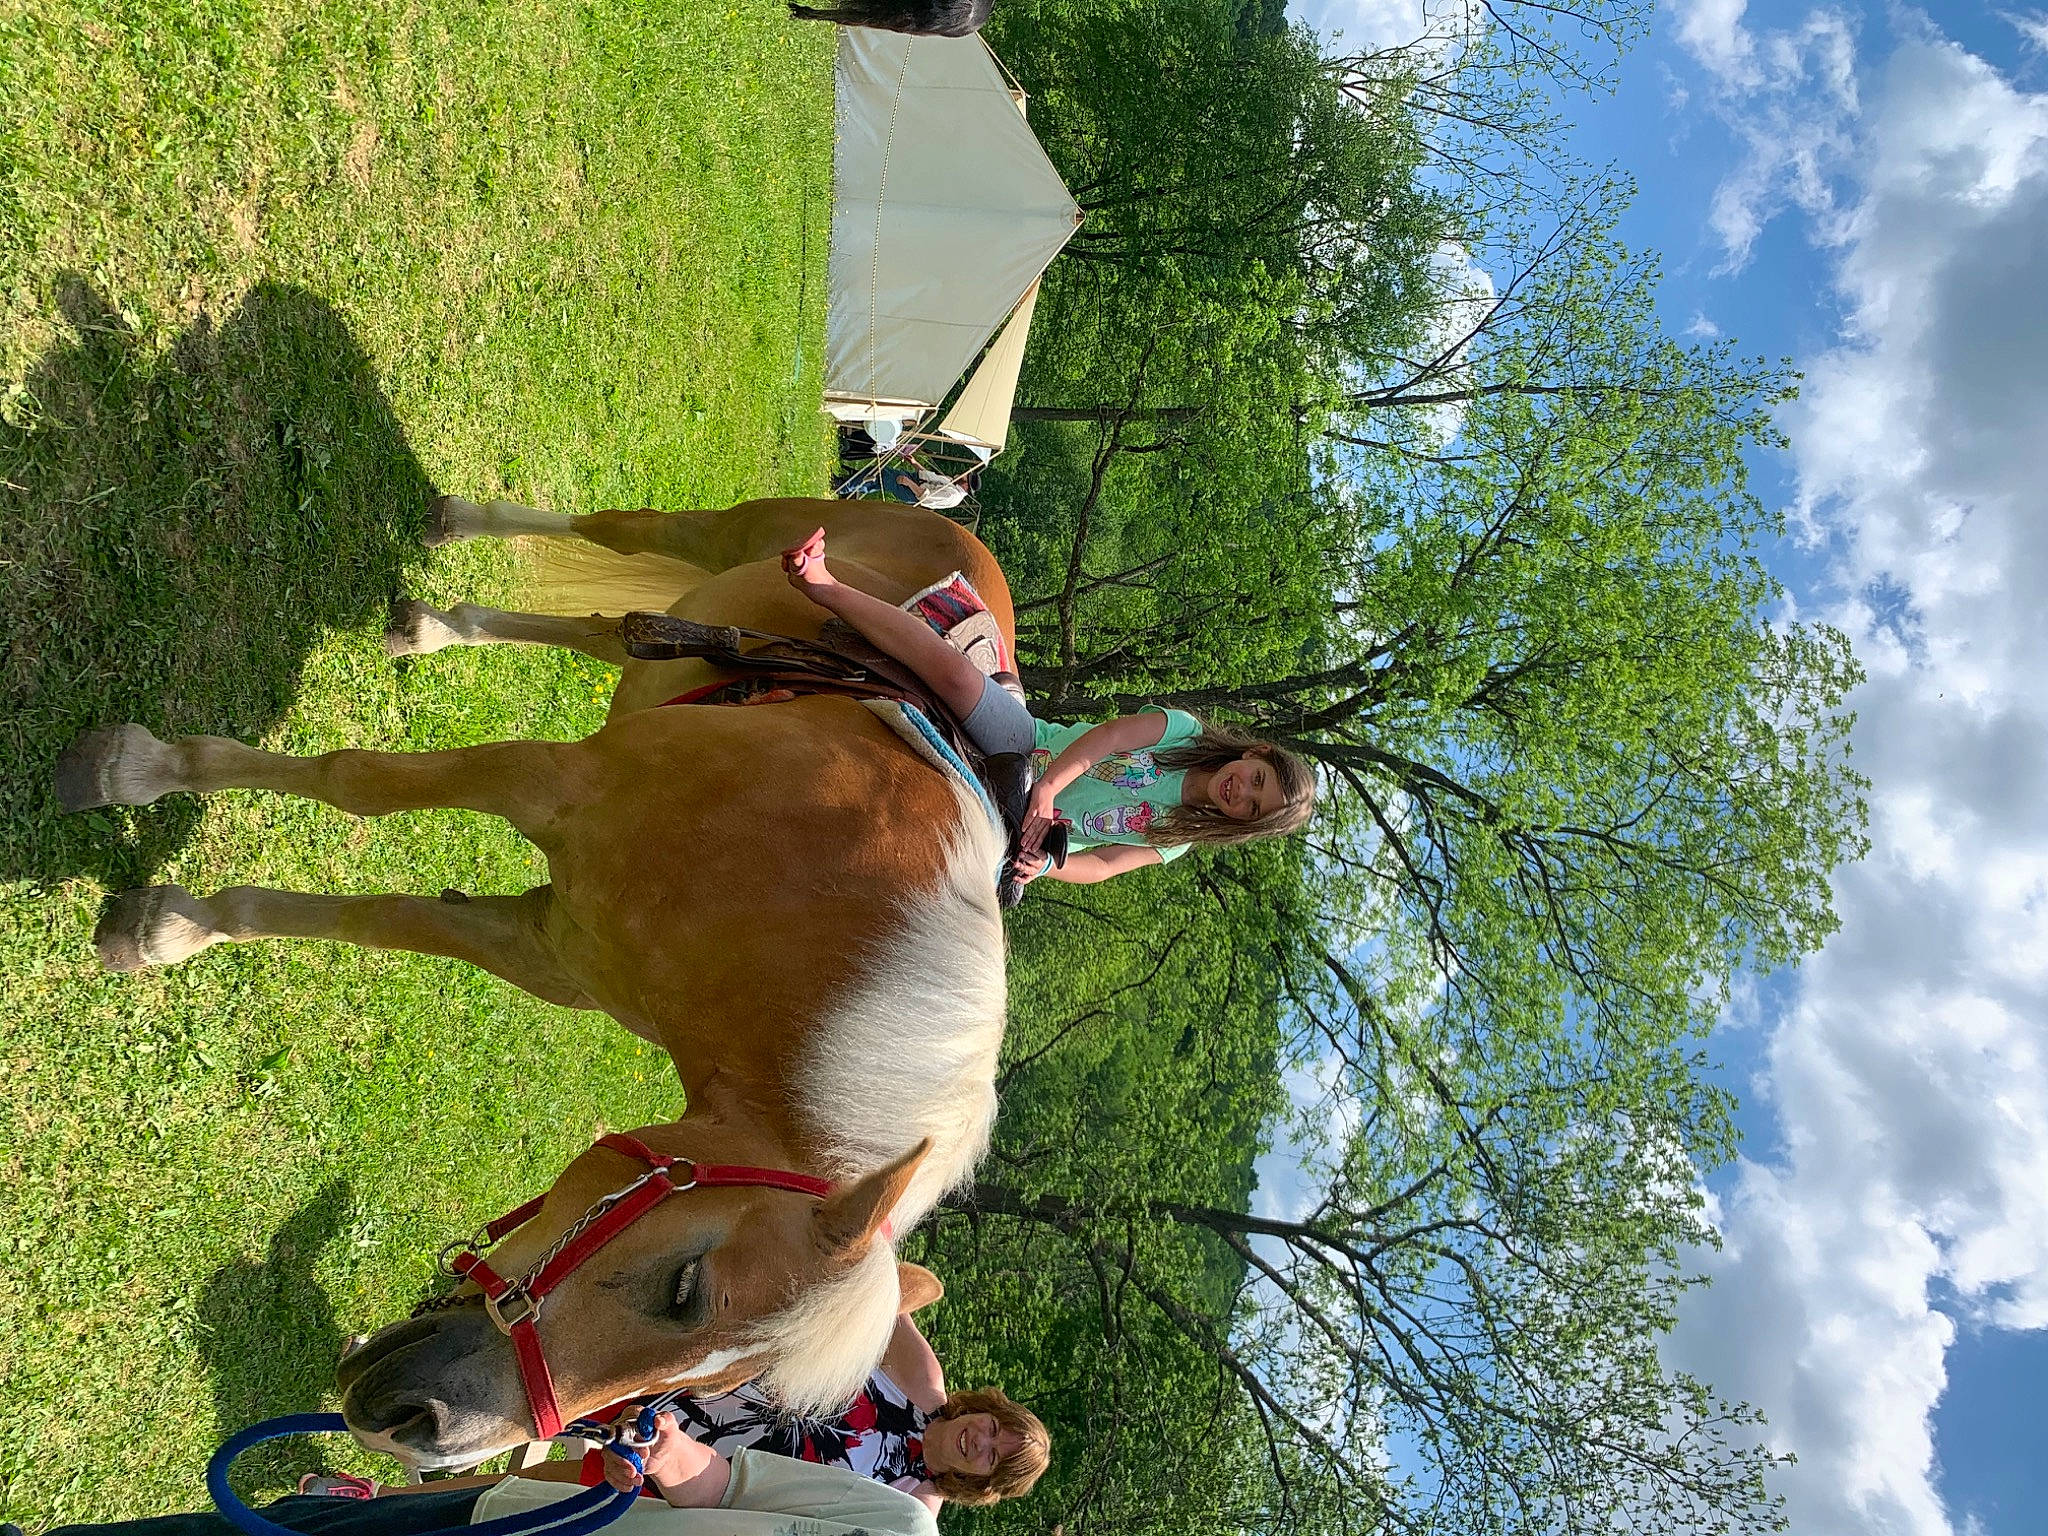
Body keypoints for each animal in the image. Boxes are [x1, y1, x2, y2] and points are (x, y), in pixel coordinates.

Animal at [54, 495, 1011, 1470]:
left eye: (704, 1391)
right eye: (685, 1287)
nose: (426, 1431)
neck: (820, 920)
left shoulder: (545, 946)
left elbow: (380, 921)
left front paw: (174, 924)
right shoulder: (550, 781)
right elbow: (359, 782)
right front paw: (140, 774)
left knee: (605, 631)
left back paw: (435, 627)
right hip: (722, 536)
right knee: (618, 532)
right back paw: (453, 534)